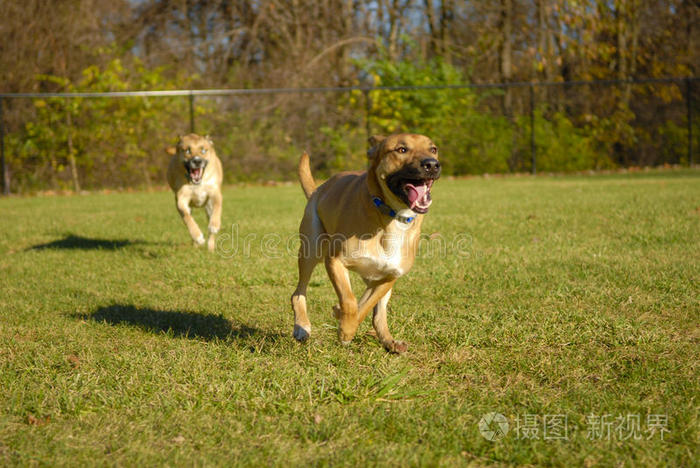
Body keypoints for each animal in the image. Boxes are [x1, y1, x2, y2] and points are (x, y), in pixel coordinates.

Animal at [292, 132, 440, 352]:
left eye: (433, 149)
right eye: (402, 149)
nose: (432, 164)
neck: (391, 216)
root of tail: (319, 188)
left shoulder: (388, 277)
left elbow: (365, 307)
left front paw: (344, 322)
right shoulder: (335, 262)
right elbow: (350, 300)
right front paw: (346, 330)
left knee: (378, 315)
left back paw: (389, 340)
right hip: (311, 249)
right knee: (298, 293)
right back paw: (302, 327)